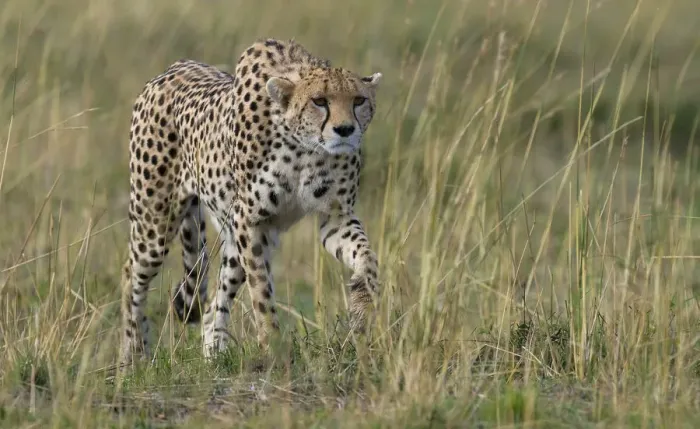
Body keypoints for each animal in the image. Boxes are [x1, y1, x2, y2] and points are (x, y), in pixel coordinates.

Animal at [119, 38, 382, 365]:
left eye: (359, 100)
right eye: (320, 101)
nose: (345, 130)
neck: (305, 147)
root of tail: (176, 66)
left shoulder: (334, 216)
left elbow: (367, 256)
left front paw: (362, 303)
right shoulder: (251, 221)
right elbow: (262, 291)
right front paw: (273, 347)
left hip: (233, 242)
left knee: (212, 305)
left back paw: (213, 357)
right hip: (155, 222)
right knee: (131, 276)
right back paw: (133, 354)